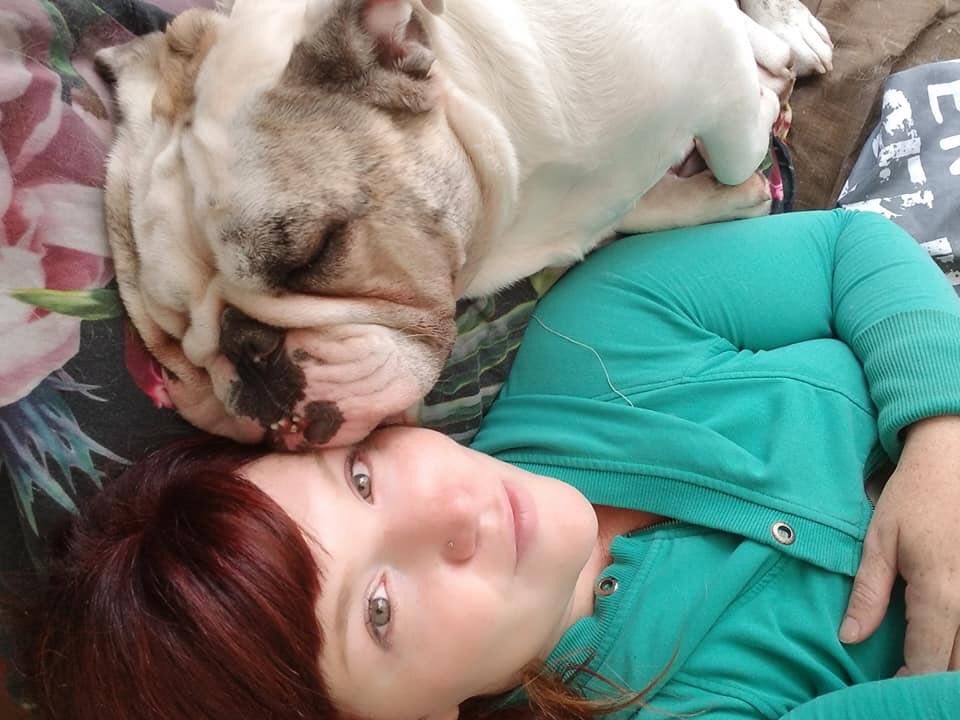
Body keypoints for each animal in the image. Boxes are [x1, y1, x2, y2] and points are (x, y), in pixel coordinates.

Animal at [96, 0, 833, 449]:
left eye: (316, 251)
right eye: (170, 347)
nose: (248, 353)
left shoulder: (710, 74)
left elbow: (737, 143)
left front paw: (760, 114)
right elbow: (642, 201)